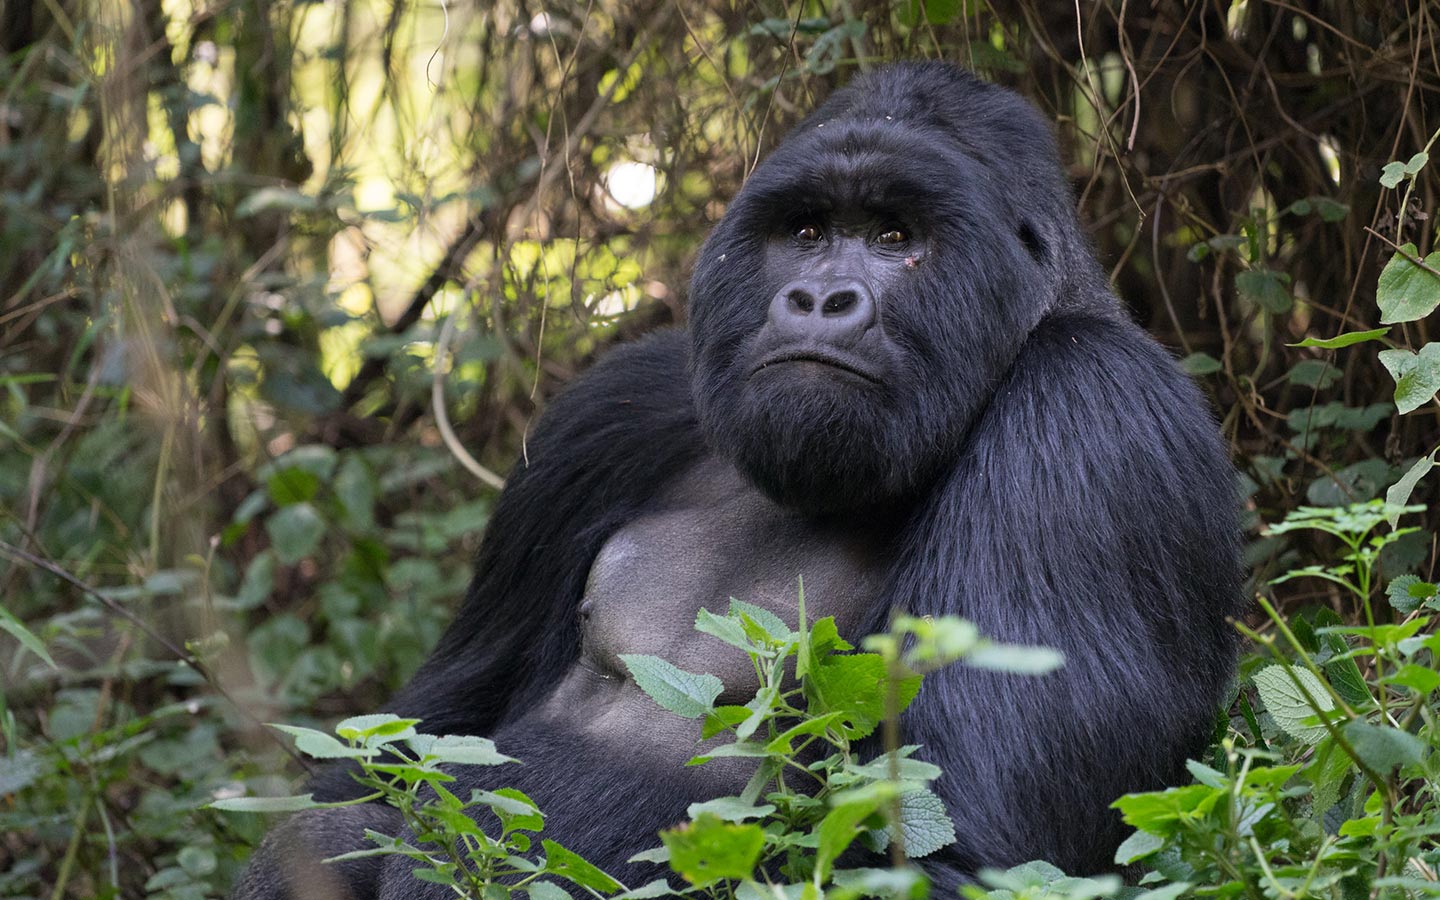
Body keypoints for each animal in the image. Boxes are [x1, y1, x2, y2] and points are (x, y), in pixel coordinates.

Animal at [233, 63, 1238, 898]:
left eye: (895, 236)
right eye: (805, 232)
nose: (820, 299)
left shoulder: (1092, 413)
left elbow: (961, 850)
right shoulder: (612, 410)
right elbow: (408, 743)